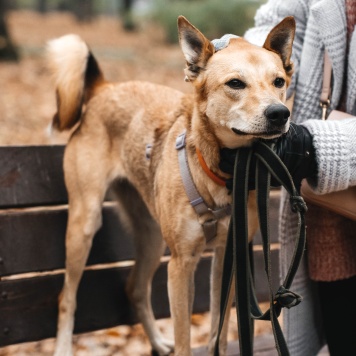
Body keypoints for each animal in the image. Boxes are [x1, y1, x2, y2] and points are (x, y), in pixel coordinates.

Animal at [48, 15, 296, 354]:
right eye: (235, 83)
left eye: (278, 82)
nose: (279, 113)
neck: (221, 171)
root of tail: (105, 87)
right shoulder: (180, 265)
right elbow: (184, 339)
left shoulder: (228, 257)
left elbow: (219, 329)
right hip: (84, 226)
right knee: (67, 297)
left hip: (153, 238)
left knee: (135, 289)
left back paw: (156, 341)